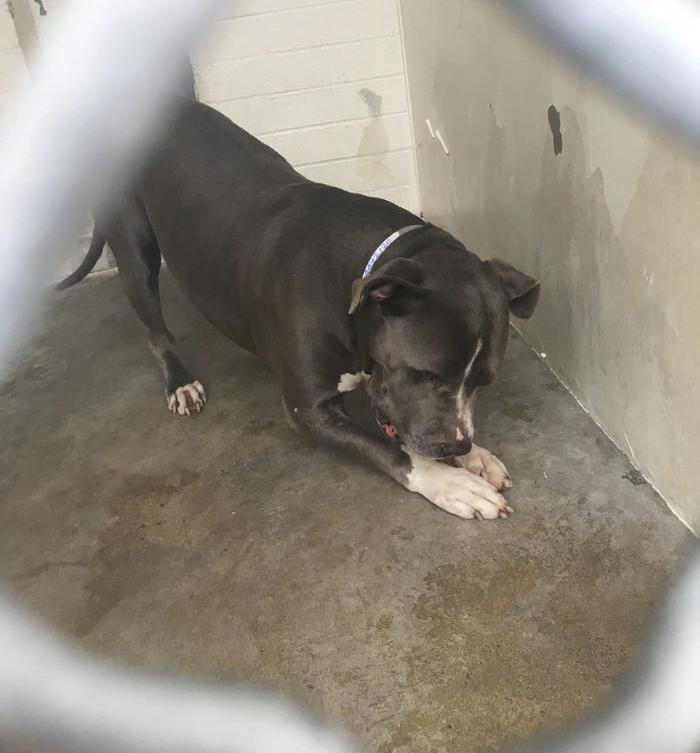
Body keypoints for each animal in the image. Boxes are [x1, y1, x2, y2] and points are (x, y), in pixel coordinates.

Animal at [58, 99, 540, 520]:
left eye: (483, 382)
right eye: (423, 374)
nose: (456, 447)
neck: (358, 270)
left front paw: (476, 457)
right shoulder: (308, 411)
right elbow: (395, 452)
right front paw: (449, 482)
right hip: (134, 249)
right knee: (154, 324)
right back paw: (179, 381)